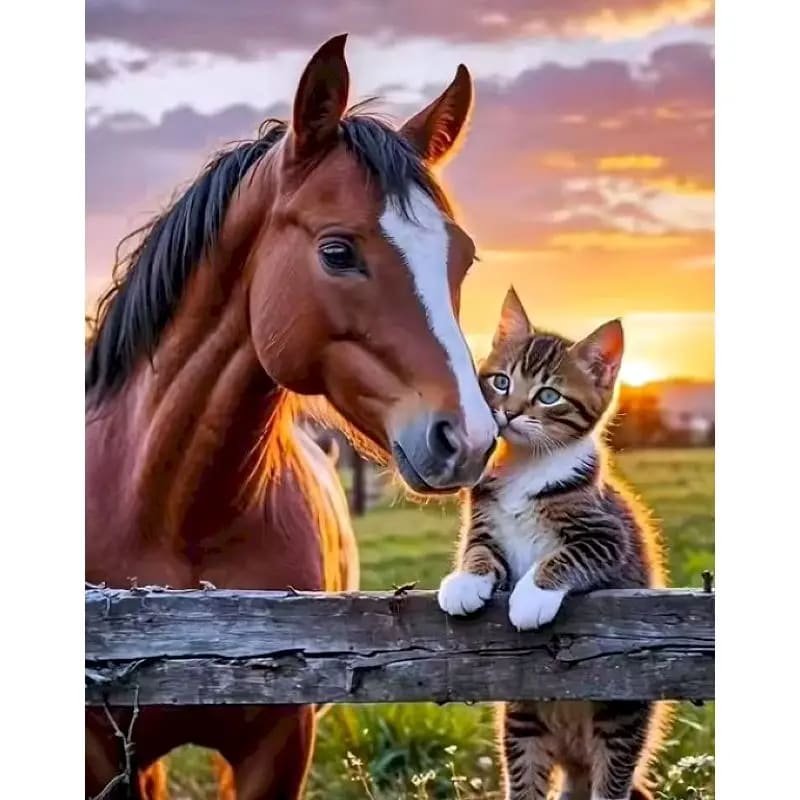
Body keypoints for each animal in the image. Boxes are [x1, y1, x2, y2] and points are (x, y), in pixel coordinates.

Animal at [86, 34, 497, 799]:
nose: (470, 437)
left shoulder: (279, 745)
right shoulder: (103, 755)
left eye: (462, 259)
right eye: (337, 251)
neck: (169, 517)